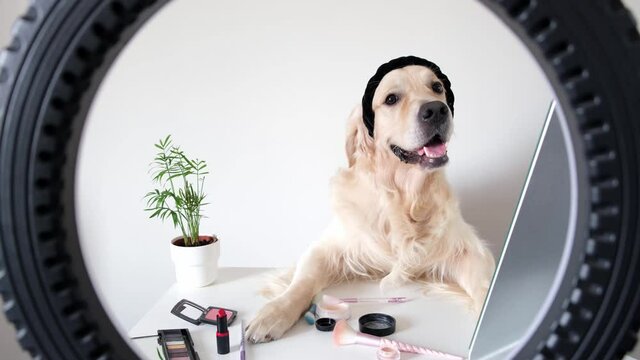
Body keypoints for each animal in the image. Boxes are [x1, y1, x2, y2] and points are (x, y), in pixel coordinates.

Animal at [245, 56, 496, 344]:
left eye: (437, 87)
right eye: (391, 99)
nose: (437, 109)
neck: (403, 197)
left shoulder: (468, 249)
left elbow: (485, 283)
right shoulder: (325, 248)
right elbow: (302, 281)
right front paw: (274, 313)